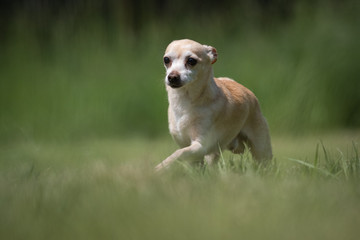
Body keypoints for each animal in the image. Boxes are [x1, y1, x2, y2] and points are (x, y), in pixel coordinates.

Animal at [155, 39, 272, 171]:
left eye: (191, 61)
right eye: (166, 60)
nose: (172, 77)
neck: (184, 101)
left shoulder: (200, 146)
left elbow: (179, 153)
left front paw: (159, 168)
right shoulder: (188, 147)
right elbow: (188, 158)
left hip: (261, 148)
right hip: (215, 152)